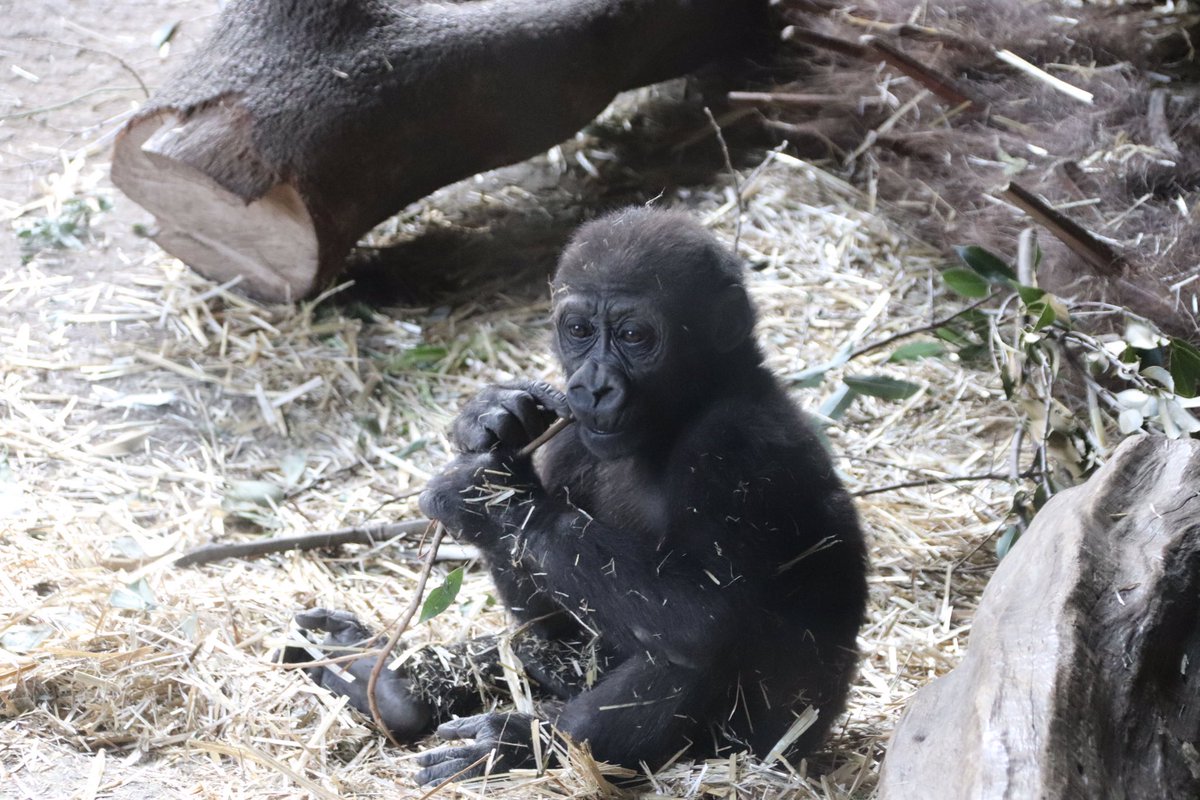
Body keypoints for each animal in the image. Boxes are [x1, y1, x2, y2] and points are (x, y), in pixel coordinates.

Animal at [294, 206, 868, 782]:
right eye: (579, 331)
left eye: (634, 335)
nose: (593, 386)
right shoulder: (572, 438)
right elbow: (546, 616)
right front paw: (493, 418)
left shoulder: (736, 443)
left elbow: (704, 611)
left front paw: (486, 496)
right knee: (540, 646)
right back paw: (394, 686)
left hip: (759, 748)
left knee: (697, 642)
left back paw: (520, 743)